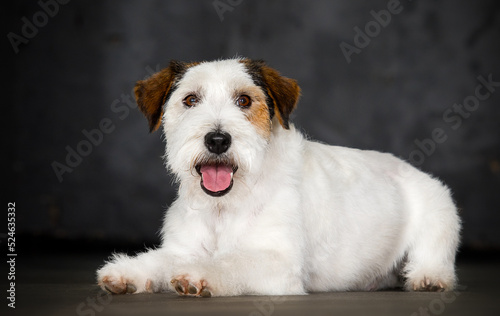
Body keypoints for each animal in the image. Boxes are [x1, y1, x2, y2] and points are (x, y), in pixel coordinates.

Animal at [96, 58, 460, 298]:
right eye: (190, 99)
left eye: (244, 100)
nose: (218, 140)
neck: (224, 206)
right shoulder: (183, 248)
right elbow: (162, 260)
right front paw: (127, 272)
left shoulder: (279, 265)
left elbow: (230, 262)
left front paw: (201, 275)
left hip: (440, 211)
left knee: (434, 257)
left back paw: (428, 277)